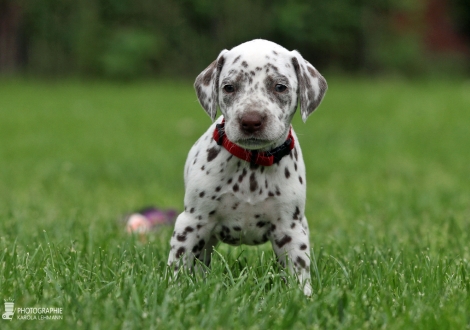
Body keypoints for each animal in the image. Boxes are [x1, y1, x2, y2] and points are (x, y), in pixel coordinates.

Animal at [168, 39, 326, 296]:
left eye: (280, 87)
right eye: (229, 87)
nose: (251, 121)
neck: (252, 164)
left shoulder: (290, 229)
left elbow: (299, 270)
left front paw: (302, 297)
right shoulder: (191, 223)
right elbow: (179, 265)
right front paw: (174, 291)